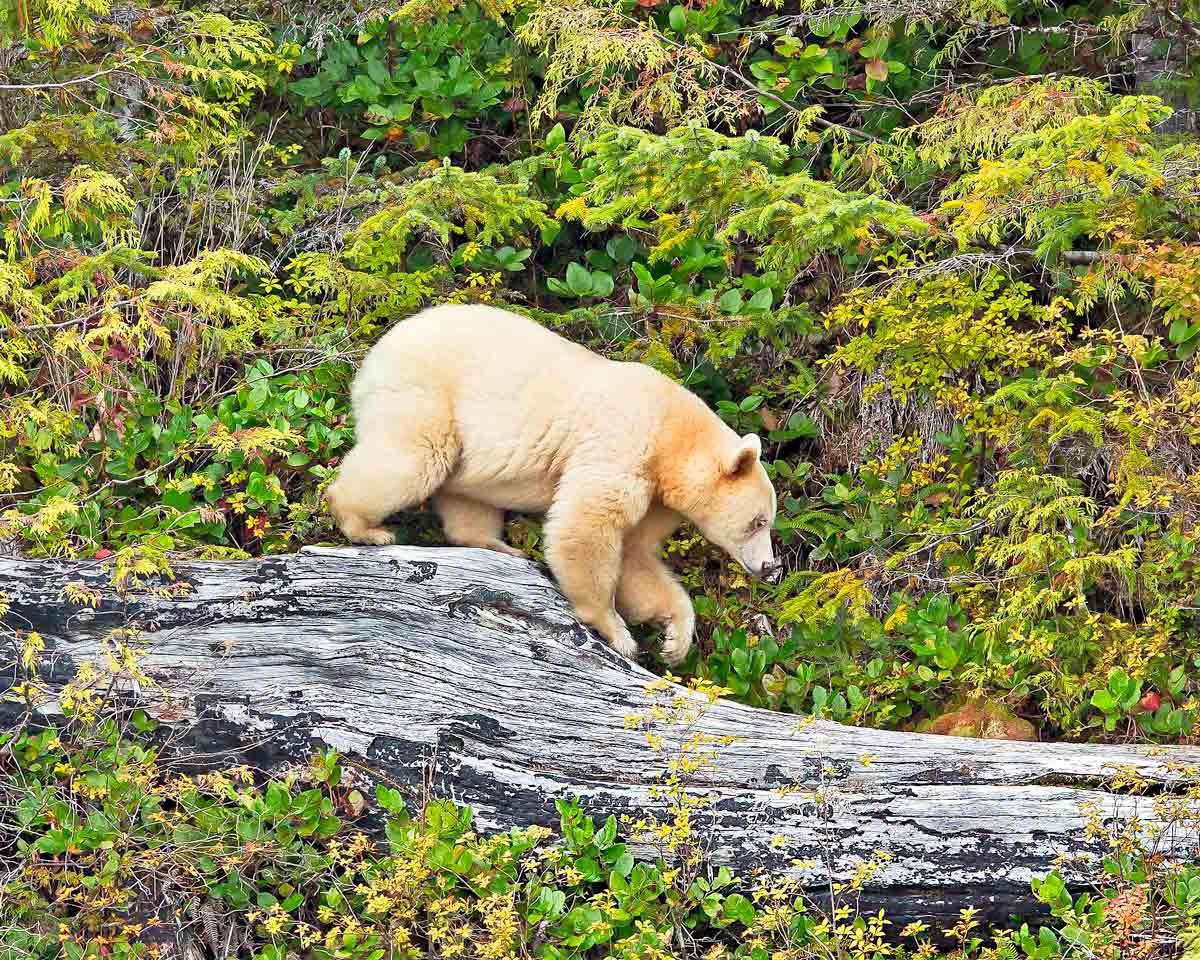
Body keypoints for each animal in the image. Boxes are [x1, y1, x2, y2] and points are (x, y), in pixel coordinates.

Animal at [328, 303, 777, 662]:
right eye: (758, 521)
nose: (769, 568)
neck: (673, 433)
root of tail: (377, 352)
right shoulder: (624, 443)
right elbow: (587, 525)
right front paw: (616, 631)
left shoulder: (657, 497)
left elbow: (635, 552)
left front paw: (674, 637)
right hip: (427, 393)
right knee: (416, 457)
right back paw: (364, 526)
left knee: (464, 494)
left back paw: (496, 545)